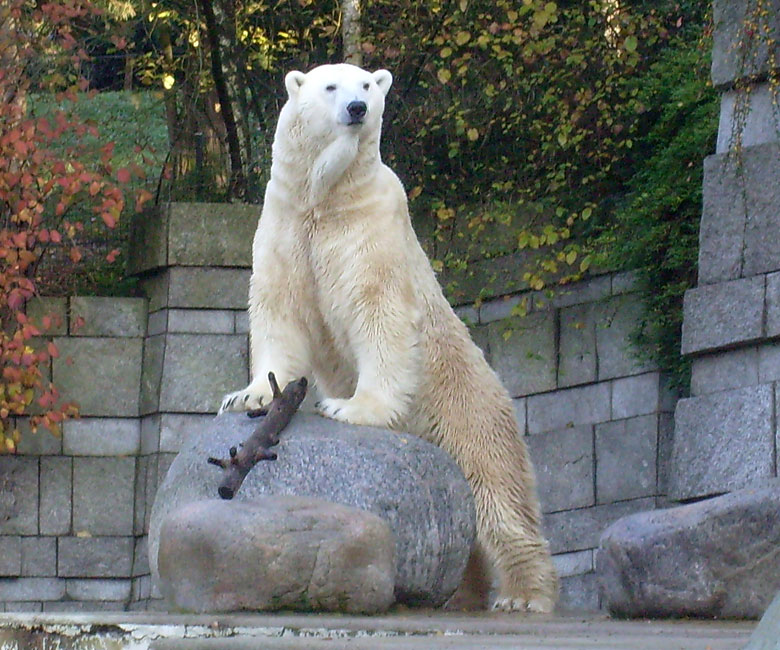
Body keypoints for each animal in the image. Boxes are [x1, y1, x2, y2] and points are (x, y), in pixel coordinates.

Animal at [219, 63, 556, 612]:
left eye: (366, 86)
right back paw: (461, 597)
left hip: (469, 412)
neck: (326, 197)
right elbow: (278, 306)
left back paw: (522, 596)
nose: (357, 109)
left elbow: (378, 313)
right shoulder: (283, 222)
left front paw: (350, 408)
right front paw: (249, 396)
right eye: (330, 86)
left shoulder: (370, 226)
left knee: (498, 501)